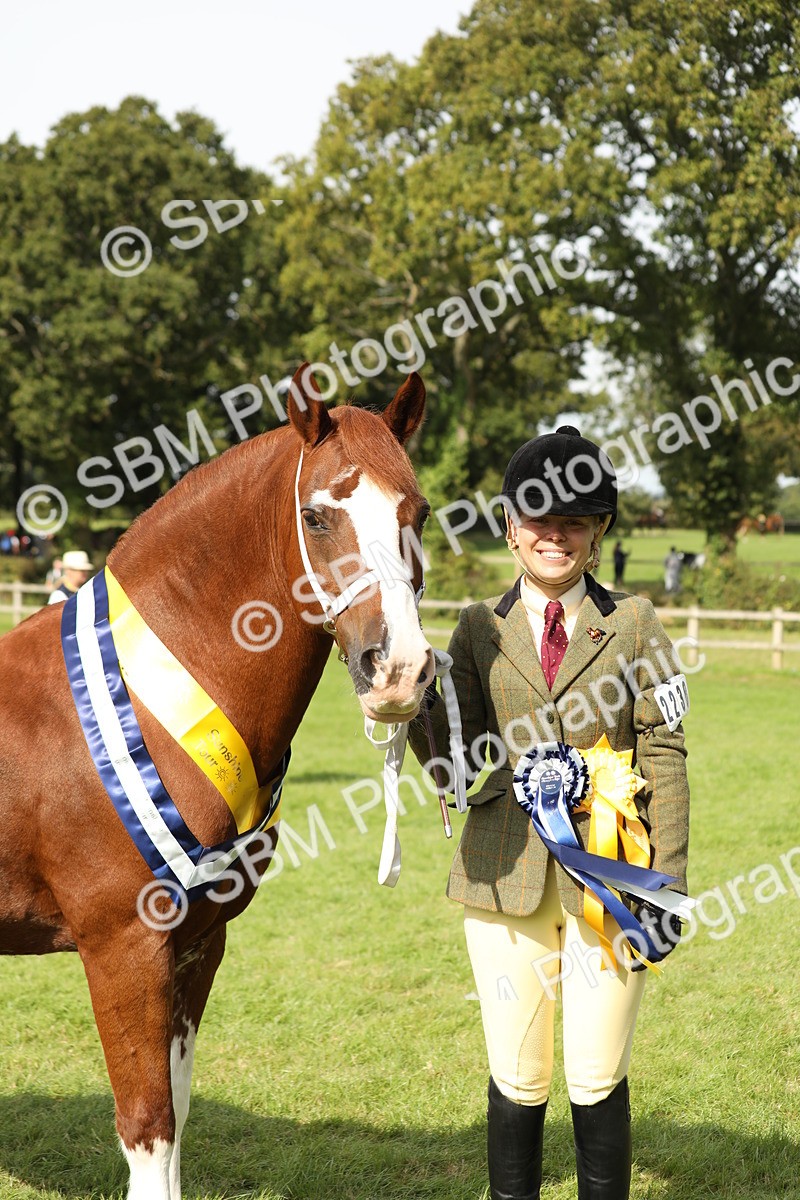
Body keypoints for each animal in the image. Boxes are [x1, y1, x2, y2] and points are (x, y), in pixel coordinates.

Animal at [0, 364, 433, 1199]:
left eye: (418, 512)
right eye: (316, 516)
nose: (397, 668)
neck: (149, 704)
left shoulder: (198, 944)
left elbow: (176, 1117)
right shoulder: (125, 949)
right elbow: (148, 1128)